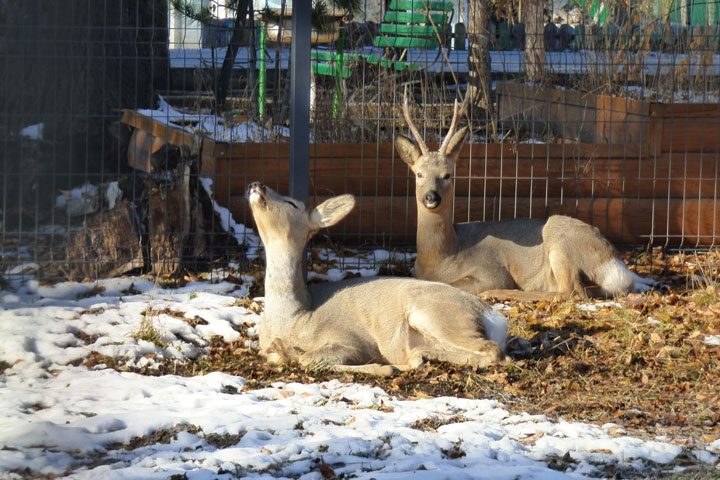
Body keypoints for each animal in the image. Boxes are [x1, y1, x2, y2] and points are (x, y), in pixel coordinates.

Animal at [248, 182, 506, 376]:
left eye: (292, 203)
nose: (256, 184)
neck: (295, 317)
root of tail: (496, 319)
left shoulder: (351, 339)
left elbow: (307, 359)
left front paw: (382, 368)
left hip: (440, 315)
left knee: (493, 351)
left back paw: (418, 357)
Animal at [396, 91, 656, 300]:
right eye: (419, 174)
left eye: (448, 174)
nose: (431, 197)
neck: (442, 257)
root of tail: (619, 269)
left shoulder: (491, 270)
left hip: (561, 242)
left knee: (570, 292)